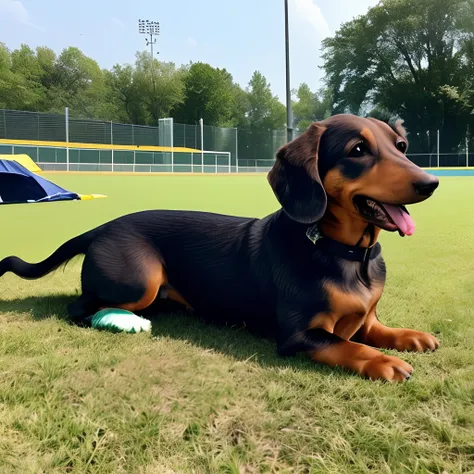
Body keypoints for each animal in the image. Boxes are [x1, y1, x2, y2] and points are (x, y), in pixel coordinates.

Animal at [0, 115, 438, 382]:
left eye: (401, 145)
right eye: (357, 150)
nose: (431, 183)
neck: (346, 254)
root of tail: (100, 227)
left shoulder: (367, 318)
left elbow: (375, 329)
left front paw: (411, 336)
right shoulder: (299, 334)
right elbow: (348, 346)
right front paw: (383, 361)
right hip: (141, 279)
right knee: (79, 307)